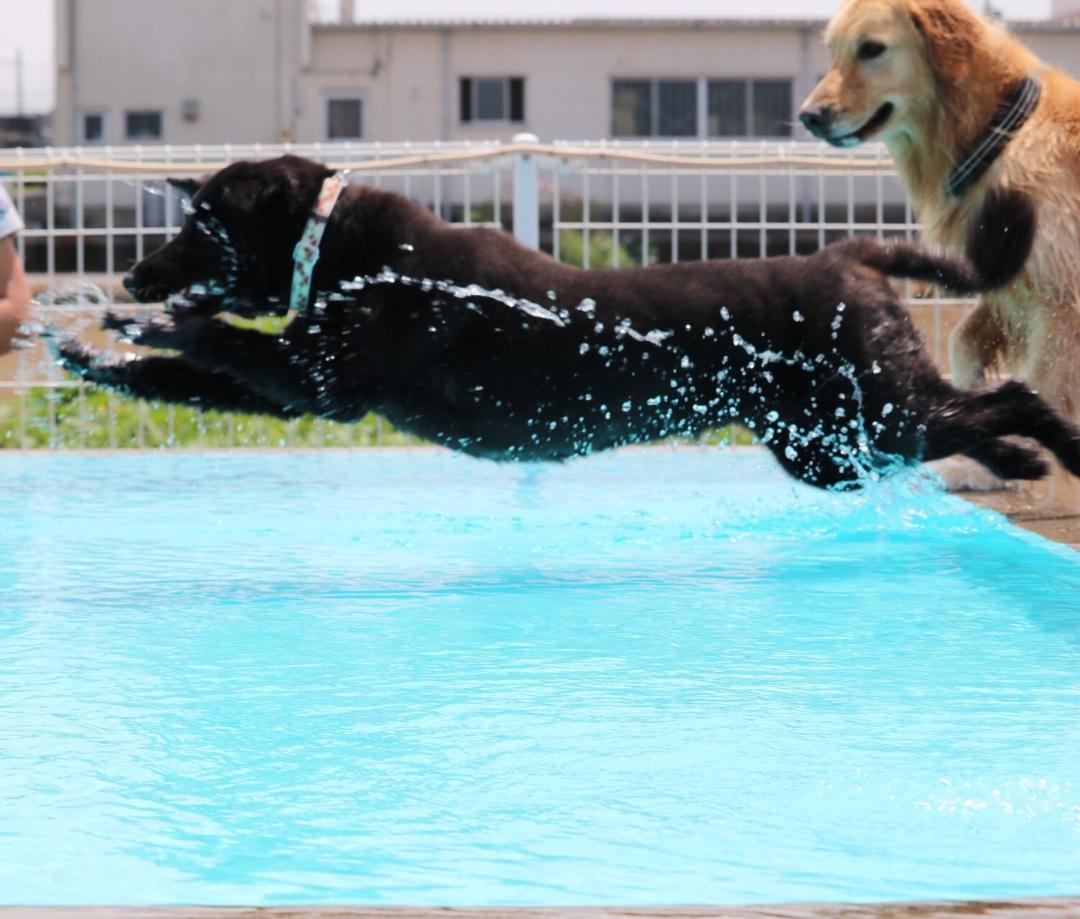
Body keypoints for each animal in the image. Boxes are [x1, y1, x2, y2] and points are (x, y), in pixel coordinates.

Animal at [54, 155, 1080, 492]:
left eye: (203, 223)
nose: (133, 270)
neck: (337, 242)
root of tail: (847, 257)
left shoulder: (325, 377)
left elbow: (224, 343)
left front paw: (152, 323)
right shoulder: (300, 393)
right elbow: (196, 377)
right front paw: (92, 353)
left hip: (873, 409)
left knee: (1015, 397)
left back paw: (1058, 447)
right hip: (834, 445)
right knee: (973, 418)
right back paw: (1018, 463)